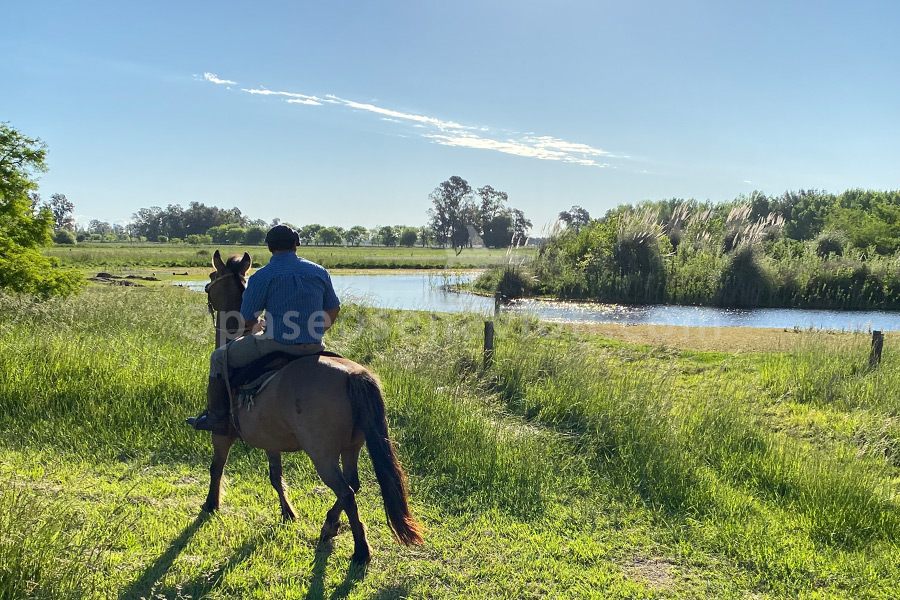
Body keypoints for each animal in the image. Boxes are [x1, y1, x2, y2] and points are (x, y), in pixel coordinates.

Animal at [200, 248, 422, 564]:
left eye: (211, 277)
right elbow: (276, 477)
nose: (206, 289)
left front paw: (211, 504)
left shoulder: (222, 435)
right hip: (351, 447)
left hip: (323, 455)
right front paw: (288, 513)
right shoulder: (271, 440)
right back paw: (331, 525)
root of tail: (354, 375)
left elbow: (216, 467)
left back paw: (359, 549)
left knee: (347, 491)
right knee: (352, 486)